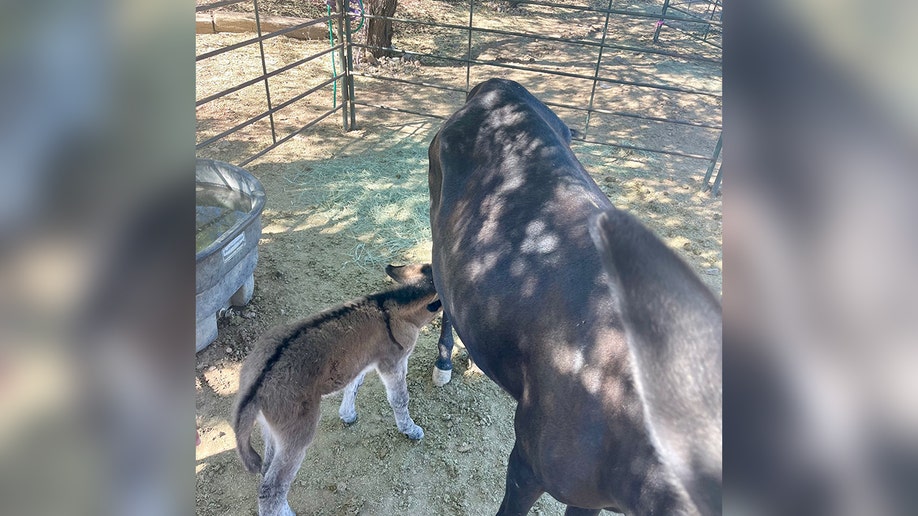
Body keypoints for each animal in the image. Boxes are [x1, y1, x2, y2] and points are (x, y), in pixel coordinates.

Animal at [234, 264, 442, 512]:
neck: (391, 307)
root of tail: (256, 384)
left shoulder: (359, 361)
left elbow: (354, 385)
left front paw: (347, 414)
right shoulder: (393, 363)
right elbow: (399, 399)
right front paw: (410, 430)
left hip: (271, 430)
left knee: (266, 472)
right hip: (297, 432)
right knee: (271, 488)